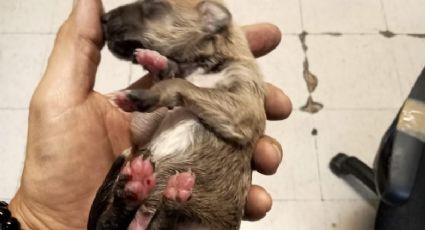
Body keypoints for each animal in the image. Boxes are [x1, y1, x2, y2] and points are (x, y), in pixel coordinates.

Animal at [88, 0, 266, 229]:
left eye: (153, 6)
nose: (104, 18)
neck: (205, 64)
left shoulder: (245, 104)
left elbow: (182, 84)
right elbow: (176, 74)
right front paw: (155, 60)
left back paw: (165, 195)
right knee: (109, 222)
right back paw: (134, 190)